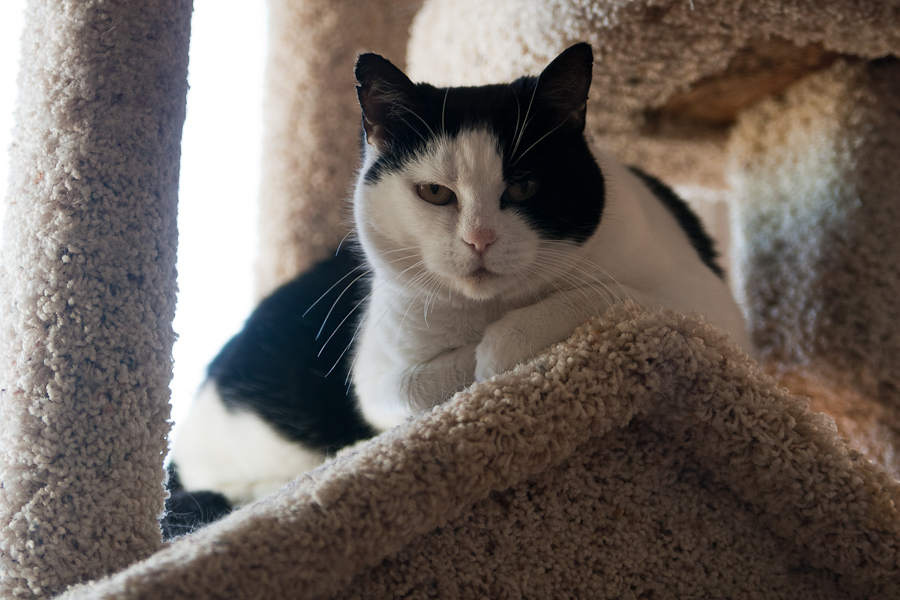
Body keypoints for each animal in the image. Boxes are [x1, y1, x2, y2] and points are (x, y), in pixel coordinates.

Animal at [163, 41, 752, 528]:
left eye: (525, 186)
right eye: (434, 193)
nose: (479, 239)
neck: (487, 308)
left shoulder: (701, 302)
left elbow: (598, 298)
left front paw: (498, 351)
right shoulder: (374, 373)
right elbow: (410, 385)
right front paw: (474, 365)